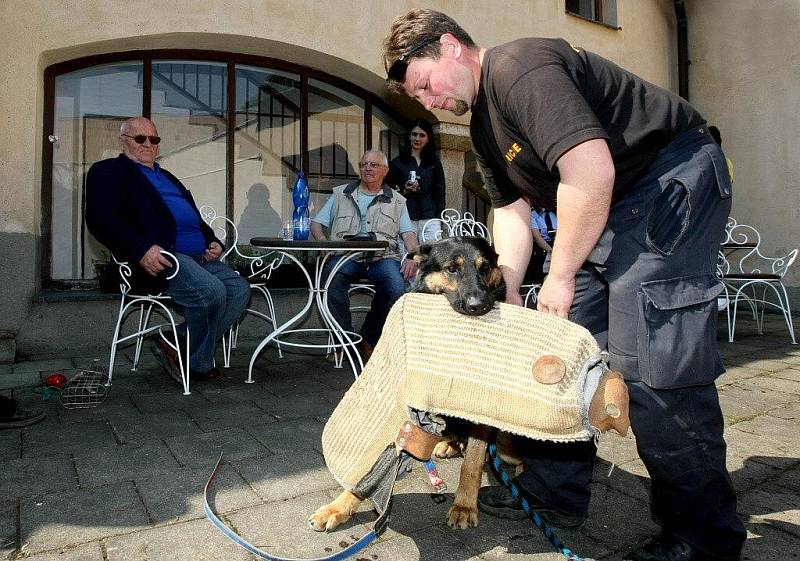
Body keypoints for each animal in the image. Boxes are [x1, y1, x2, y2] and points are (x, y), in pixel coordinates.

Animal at [306, 235, 520, 528]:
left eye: (485, 267)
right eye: (452, 268)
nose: (479, 306)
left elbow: (473, 463)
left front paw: (464, 506)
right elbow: (372, 470)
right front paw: (339, 506)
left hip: (508, 437)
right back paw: (449, 444)